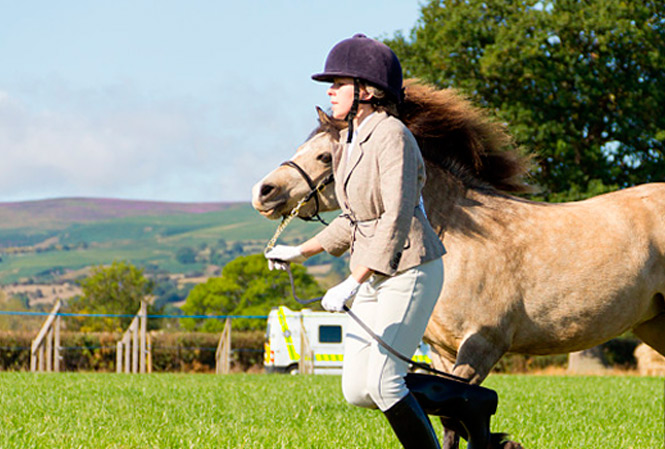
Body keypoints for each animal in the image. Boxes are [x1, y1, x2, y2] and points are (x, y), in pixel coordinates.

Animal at [250, 80, 664, 448]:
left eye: (324, 156)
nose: (263, 192)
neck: (458, 236)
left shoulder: (482, 343)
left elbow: (460, 409)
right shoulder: (442, 351)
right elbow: (446, 416)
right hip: (653, 325)